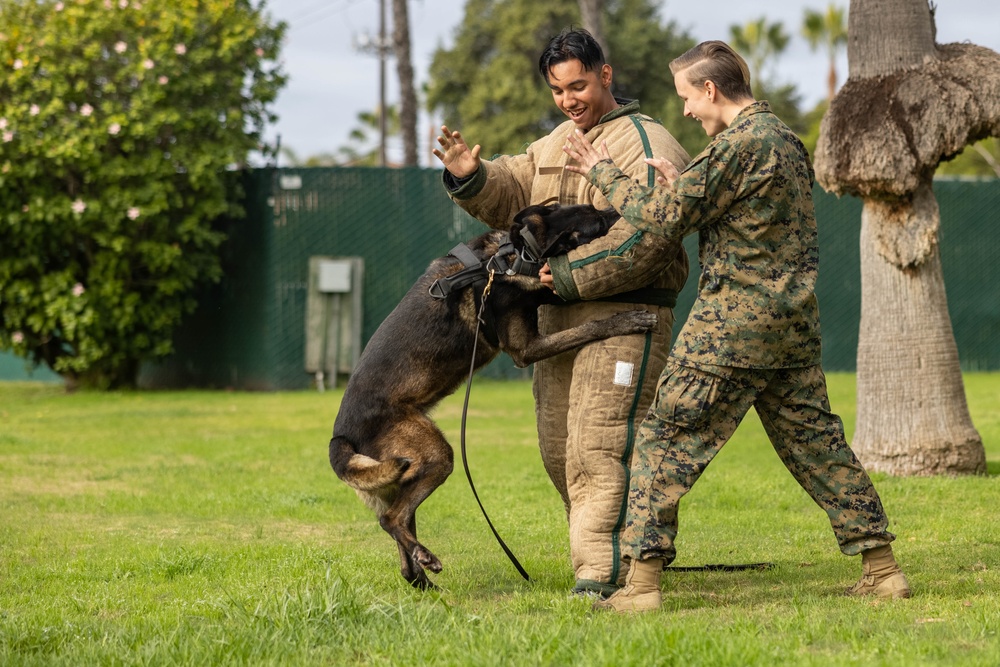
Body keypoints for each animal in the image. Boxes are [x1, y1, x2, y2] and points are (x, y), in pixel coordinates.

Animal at [330, 201, 656, 588]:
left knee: (400, 531)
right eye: (598, 222)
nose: (624, 213)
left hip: (402, 474)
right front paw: (628, 320)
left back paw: (420, 576)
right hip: (436, 454)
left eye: (594, 208)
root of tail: (340, 435)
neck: (515, 253)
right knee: (391, 519)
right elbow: (588, 324)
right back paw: (426, 559)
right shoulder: (526, 349)